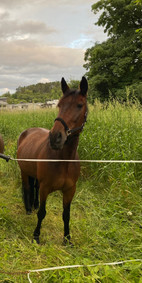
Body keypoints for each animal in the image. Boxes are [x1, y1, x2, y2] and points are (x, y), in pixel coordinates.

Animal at [16, 76, 87, 245]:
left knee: (34, 187)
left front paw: (67, 239)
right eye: (59, 105)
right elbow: (42, 212)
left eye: (80, 105)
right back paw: (28, 209)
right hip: (24, 172)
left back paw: (33, 205)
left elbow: (66, 215)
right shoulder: (45, 188)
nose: (55, 138)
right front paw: (36, 236)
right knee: (27, 188)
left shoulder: (70, 190)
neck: (64, 161)